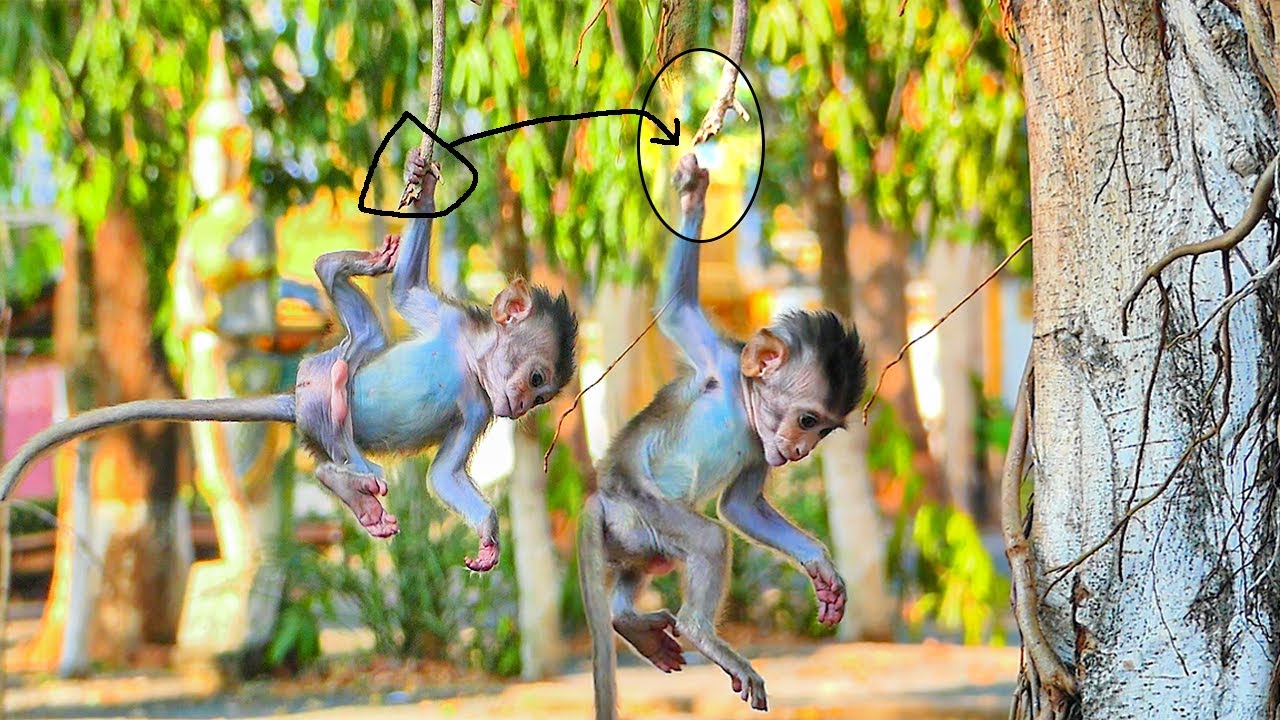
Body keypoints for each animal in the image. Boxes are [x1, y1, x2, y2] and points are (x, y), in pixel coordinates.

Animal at [0, 148, 578, 572]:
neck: (470, 365)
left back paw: (352, 487)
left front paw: (489, 537)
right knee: (352, 378)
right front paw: (426, 178)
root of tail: (296, 400)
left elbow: (443, 477)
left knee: (336, 447)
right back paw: (341, 280)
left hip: (322, 405)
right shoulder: (455, 327)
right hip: (324, 378)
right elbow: (407, 290)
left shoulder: (480, 409)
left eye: (541, 393)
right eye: (535, 378)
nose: (521, 406)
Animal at [578, 153, 866, 717]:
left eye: (823, 431)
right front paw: (692, 197)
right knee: (706, 538)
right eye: (807, 420)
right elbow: (677, 311)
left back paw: (629, 620)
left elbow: (740, 507)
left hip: (634, 538)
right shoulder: (722, 366)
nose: (801, 451)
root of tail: (601, 499)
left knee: (651, 566)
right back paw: (699, 633)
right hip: (638, 508)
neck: (742, 403)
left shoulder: (761, 447)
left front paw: (820, 567)